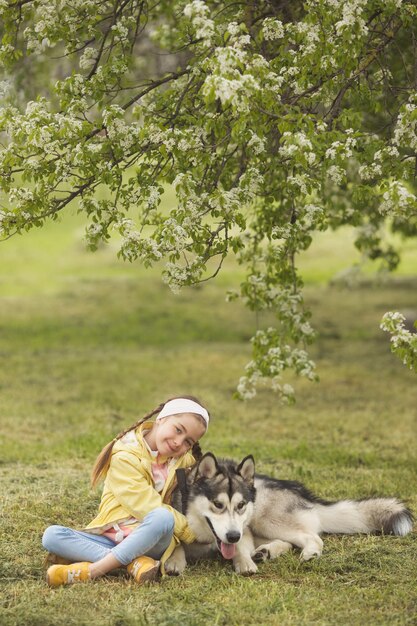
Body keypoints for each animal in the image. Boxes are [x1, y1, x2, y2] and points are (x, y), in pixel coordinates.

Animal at [164, 450, 412, 572]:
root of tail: (302, 493)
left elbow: (241, 548)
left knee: (311, 537)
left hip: (264, 518)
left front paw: (243, 561)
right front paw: (175, 560)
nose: (233, 535)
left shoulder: (244, 530)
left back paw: (308, 553)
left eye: (241, 506)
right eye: (218, 505)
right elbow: (175, 545)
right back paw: (267, 551)